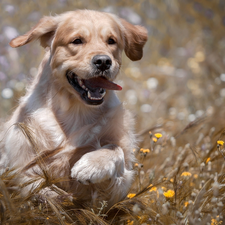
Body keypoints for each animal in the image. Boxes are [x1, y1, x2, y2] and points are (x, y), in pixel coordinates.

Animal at [0, 10, 148, 207]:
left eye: (111, 41)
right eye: (77, 40)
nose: (103, 61)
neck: (76, 111)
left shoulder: (117, 190)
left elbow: (114, 148)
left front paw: (91, 165)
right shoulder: (20, 168)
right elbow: (37, 187)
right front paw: (57, 198)